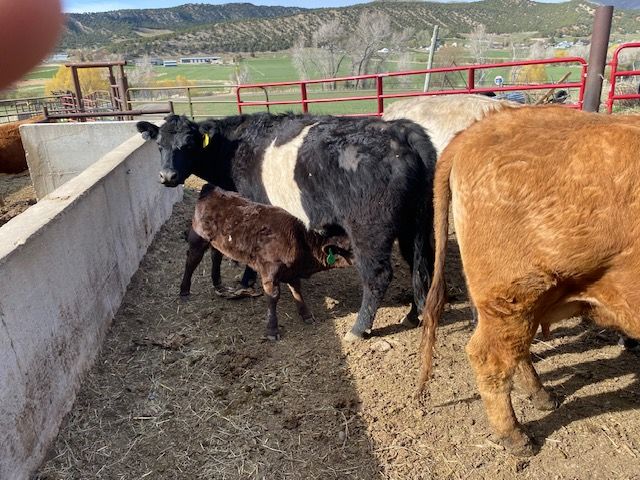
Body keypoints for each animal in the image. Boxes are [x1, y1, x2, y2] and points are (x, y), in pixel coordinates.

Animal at [184, 184, 352, 339]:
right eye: (352, 247)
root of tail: (211, 188)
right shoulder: (269, 270)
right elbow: (273, 297)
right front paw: (272, 329)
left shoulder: (292, 271)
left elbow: (297, 290)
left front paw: (306, 315)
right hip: (197, 239)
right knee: (192, 260)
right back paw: (184, 291)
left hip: (218, 243)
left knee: (216, 257)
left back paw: (218, 284)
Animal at [419, 105, 640, 455]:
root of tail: (477, 129)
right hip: (516, 294)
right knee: (490, 357)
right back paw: (516, 437)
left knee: (515, 349)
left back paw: (542, 396)